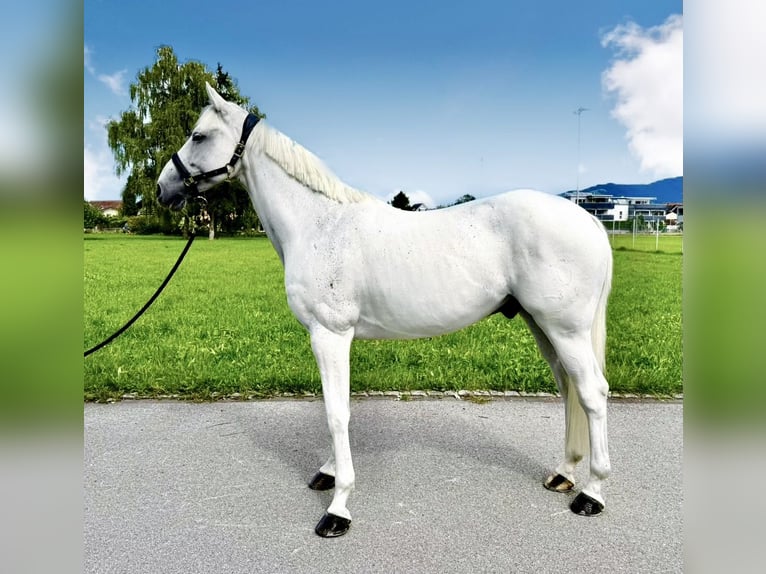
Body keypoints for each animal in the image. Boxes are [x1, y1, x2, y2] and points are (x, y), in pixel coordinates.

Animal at [156, 83, 613, 537]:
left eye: (199, 135)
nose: (163, 188)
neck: (320, 224)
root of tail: (588, 219)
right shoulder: (332, 338)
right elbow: (337, 407)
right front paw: (328, 472)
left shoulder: (330, 334)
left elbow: (335, 413)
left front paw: (338, 507)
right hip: (543, 327)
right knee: (569, 389)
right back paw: (564, 473)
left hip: (565, 329)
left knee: (591, 392)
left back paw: (591, 494)